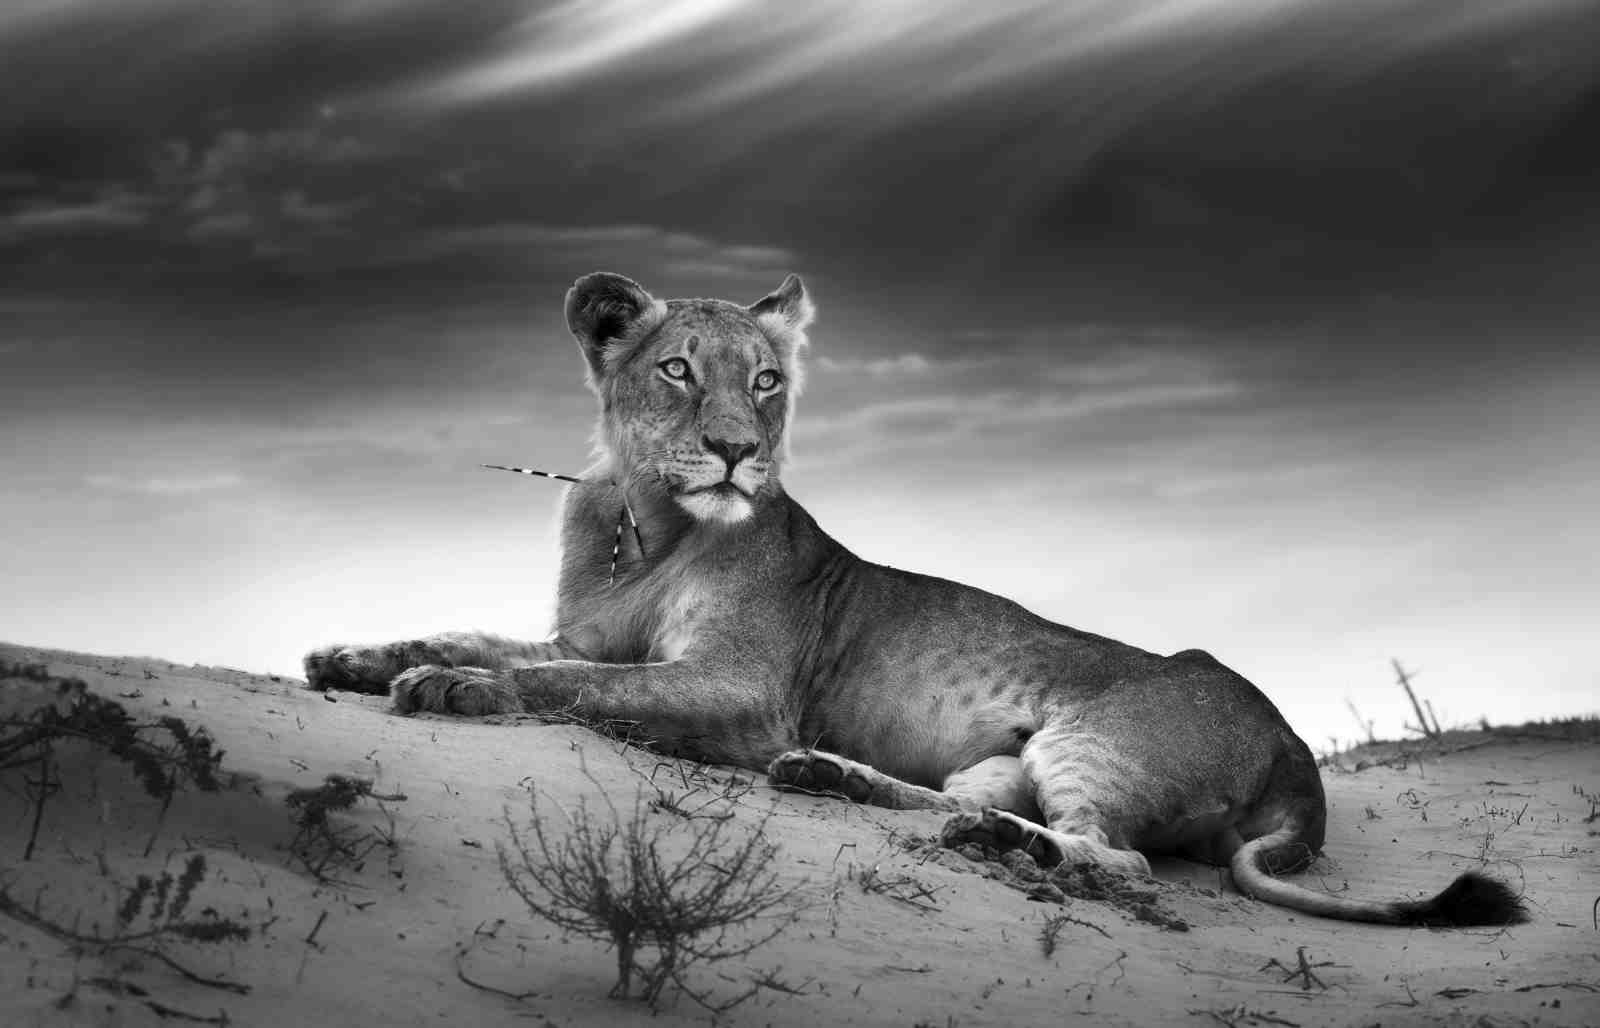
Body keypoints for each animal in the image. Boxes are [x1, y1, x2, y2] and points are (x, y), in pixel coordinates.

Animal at [306, 271, 1523, 926]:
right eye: (676, 370)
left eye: (766, 380)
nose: (738, 453)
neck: (643, 522)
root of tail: (1297, 756)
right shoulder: (590, 631)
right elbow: (497, 637)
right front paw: (355, 658)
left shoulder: (740, 690)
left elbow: (573, 683)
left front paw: (455, 687)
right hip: (1004, 754)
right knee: (959, 801)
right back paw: (844, 782)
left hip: (1094, 738)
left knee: (1116, 857)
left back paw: (995, 845)